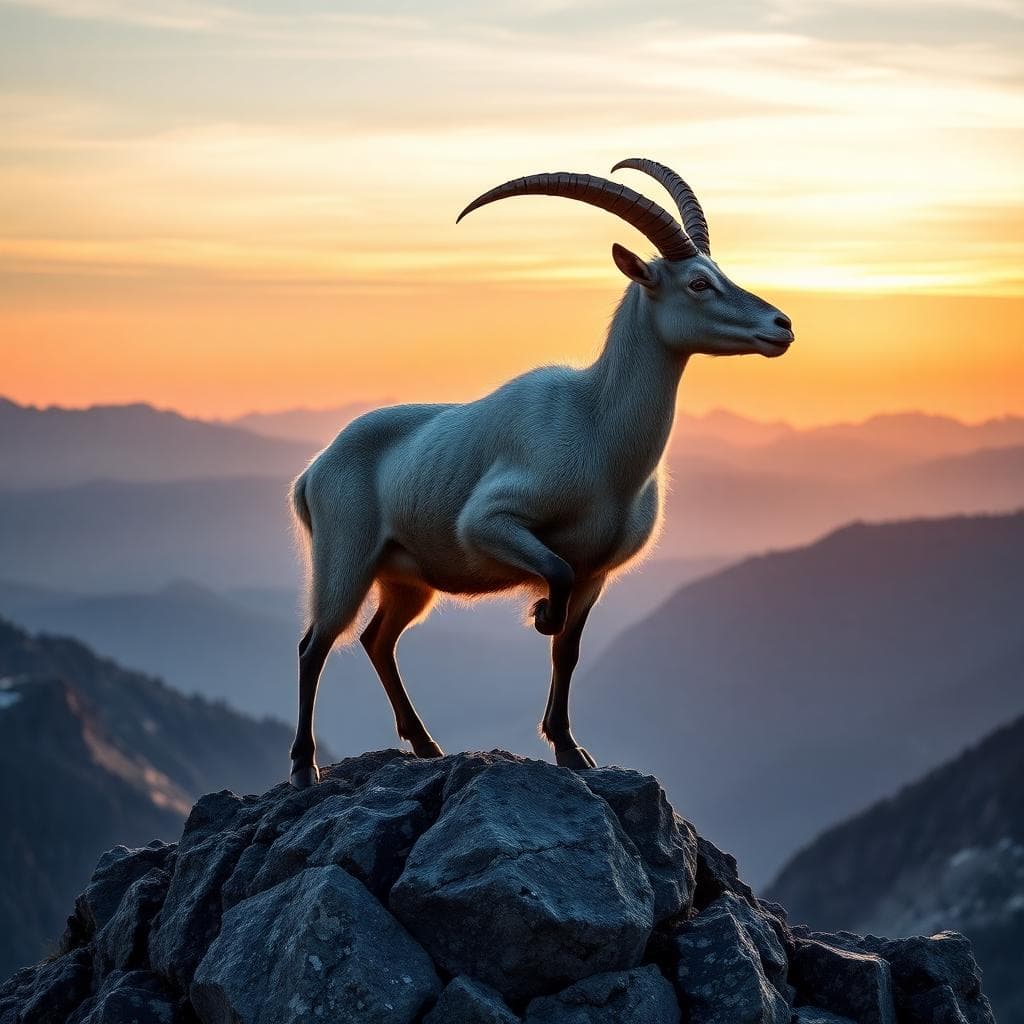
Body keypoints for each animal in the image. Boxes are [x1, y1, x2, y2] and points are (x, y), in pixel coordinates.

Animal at [288, 157, 794, 787]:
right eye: (698, 283)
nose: (782, 325)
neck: (598, 430)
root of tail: (312, 472)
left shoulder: (596, 571)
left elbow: (567, 651)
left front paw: (571, 750)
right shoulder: (489, 525)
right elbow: (552, 574)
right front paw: (540, 613)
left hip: (407, 580)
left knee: (378, 640)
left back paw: (426, 745)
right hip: (345, 559)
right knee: (315, 644)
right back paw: (304, 766)